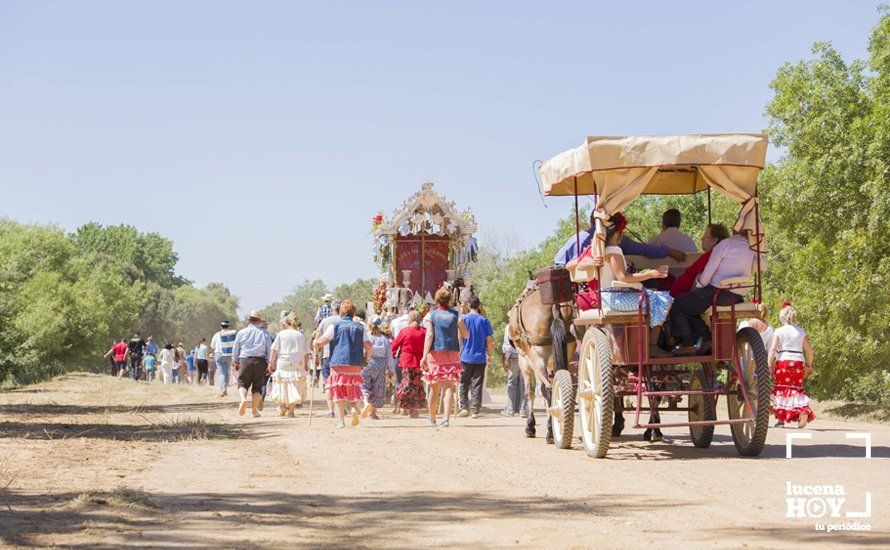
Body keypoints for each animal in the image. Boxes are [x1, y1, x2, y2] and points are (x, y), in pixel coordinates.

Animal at [506, 282, 576, 446]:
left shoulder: (525, 362)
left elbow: (530, 393)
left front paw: (530, 427)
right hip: (564, 355)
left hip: (538, 360)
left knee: (548, 390)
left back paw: (550, 432)